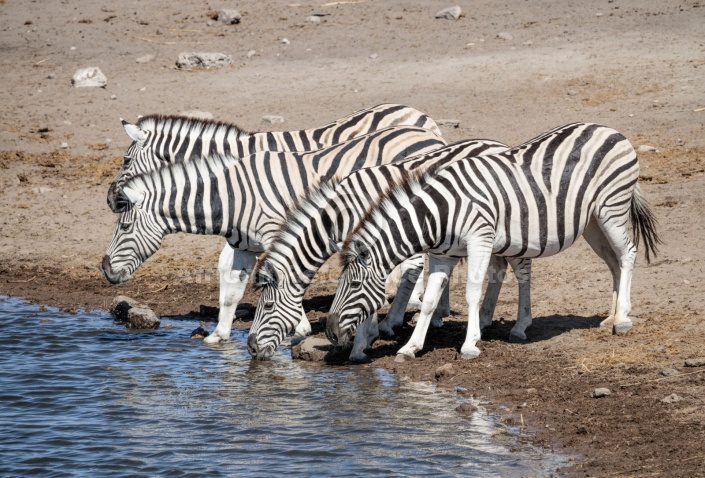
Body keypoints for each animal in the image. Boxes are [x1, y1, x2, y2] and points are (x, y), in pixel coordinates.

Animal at [101, 125, 442, 346]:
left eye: (124, 227)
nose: (105, 268)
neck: (231, 196)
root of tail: (427, 133)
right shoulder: (244, 247)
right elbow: (233, 289)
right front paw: (220, 335)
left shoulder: (275, 236)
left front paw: (300, 328)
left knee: (413, 268)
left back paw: (391, 322)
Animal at [324, 121, 660, 360]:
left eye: (354, 285)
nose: (330, 332)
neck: (439, 212)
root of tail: (609, 129)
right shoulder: (444, 255)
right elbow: (430, 300)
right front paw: (411, 347)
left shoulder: (480, 239)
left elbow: (472, 293)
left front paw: (470, 345)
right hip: (591, 222)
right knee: (614, 262)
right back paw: (610, 316)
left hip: (611, 208)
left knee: (628, 254)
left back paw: (623, 319)